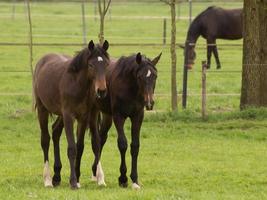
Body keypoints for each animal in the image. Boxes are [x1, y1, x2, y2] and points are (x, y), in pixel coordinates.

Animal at [33, 40, 110, 189]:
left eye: (106, 64)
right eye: (91, 65)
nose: (102, 91)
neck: (77, 84)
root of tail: (42, 61)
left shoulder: (83, 117)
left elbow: (80, 147)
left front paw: (77, 179)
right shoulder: (69, 115)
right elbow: (72, 148)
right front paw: (73, 182)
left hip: (61, 114)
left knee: (55, 131)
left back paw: (56, 177)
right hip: (42, 109)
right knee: (45, 140)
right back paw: (48, 179)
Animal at [88, 52, 163, 189]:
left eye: (155, 76)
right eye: (139, 76)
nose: (150, 103)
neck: (130, 88)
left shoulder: (137, 116)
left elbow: (135, 146)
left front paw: (135, 180)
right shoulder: (119, 116)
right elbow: (122, 144)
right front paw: (123, 178)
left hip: (107, 116)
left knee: (101, 139)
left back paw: (95, 173)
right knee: (95, 140)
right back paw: (98, 176)